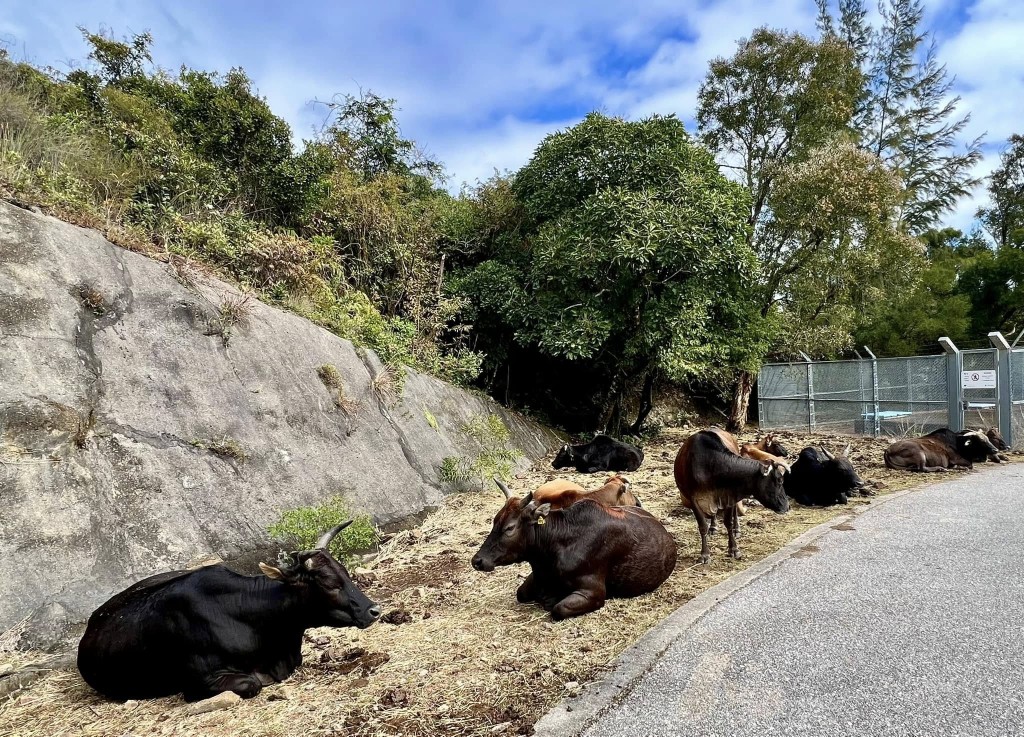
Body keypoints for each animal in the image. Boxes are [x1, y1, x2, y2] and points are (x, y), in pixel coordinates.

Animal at [473, 477, 679, 614]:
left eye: (510, 527)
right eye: (494, 521)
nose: (477, 560)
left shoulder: (593, 593)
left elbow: (558, 608)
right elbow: (521, 592)